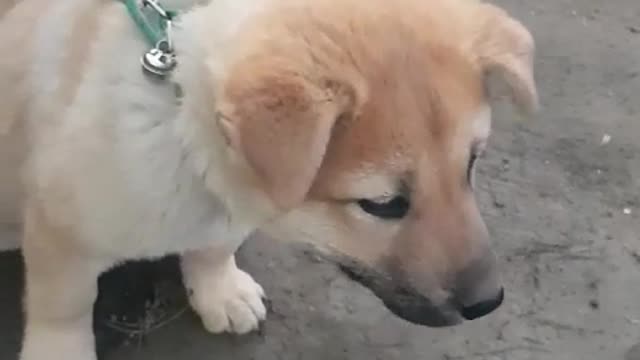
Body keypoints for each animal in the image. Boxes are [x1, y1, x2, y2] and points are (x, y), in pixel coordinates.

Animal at [0, 0, 536, 358]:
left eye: (471, 164)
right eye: (383, 204)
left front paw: (219, 288)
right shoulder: (63, 233)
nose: (488, 303)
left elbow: (215, 246)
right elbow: (65, 306)